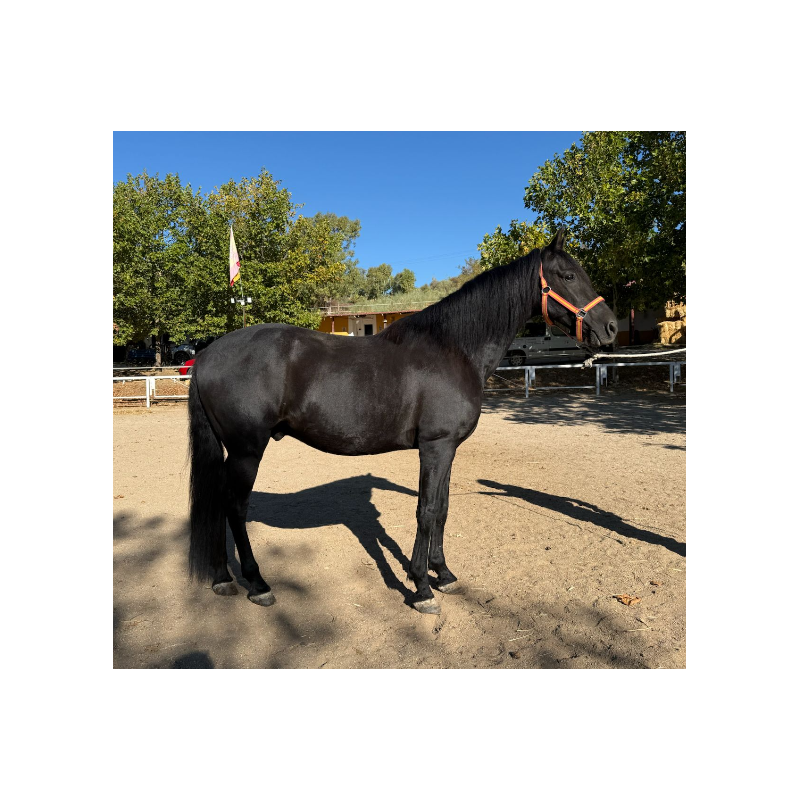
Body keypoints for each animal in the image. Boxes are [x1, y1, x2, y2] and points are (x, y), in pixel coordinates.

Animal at [187, 229, 618, 614]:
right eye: (568, 276)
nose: (611, 327)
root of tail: (207, 355)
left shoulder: (448, 449)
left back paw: (223, 579)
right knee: (235, 508)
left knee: (220, 506)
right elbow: (425, 511)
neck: (453, 349)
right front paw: (422, 587)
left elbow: (442, 508)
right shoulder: (435, 447)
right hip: (246, 451)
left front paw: (444, 575)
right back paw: (257, 584)